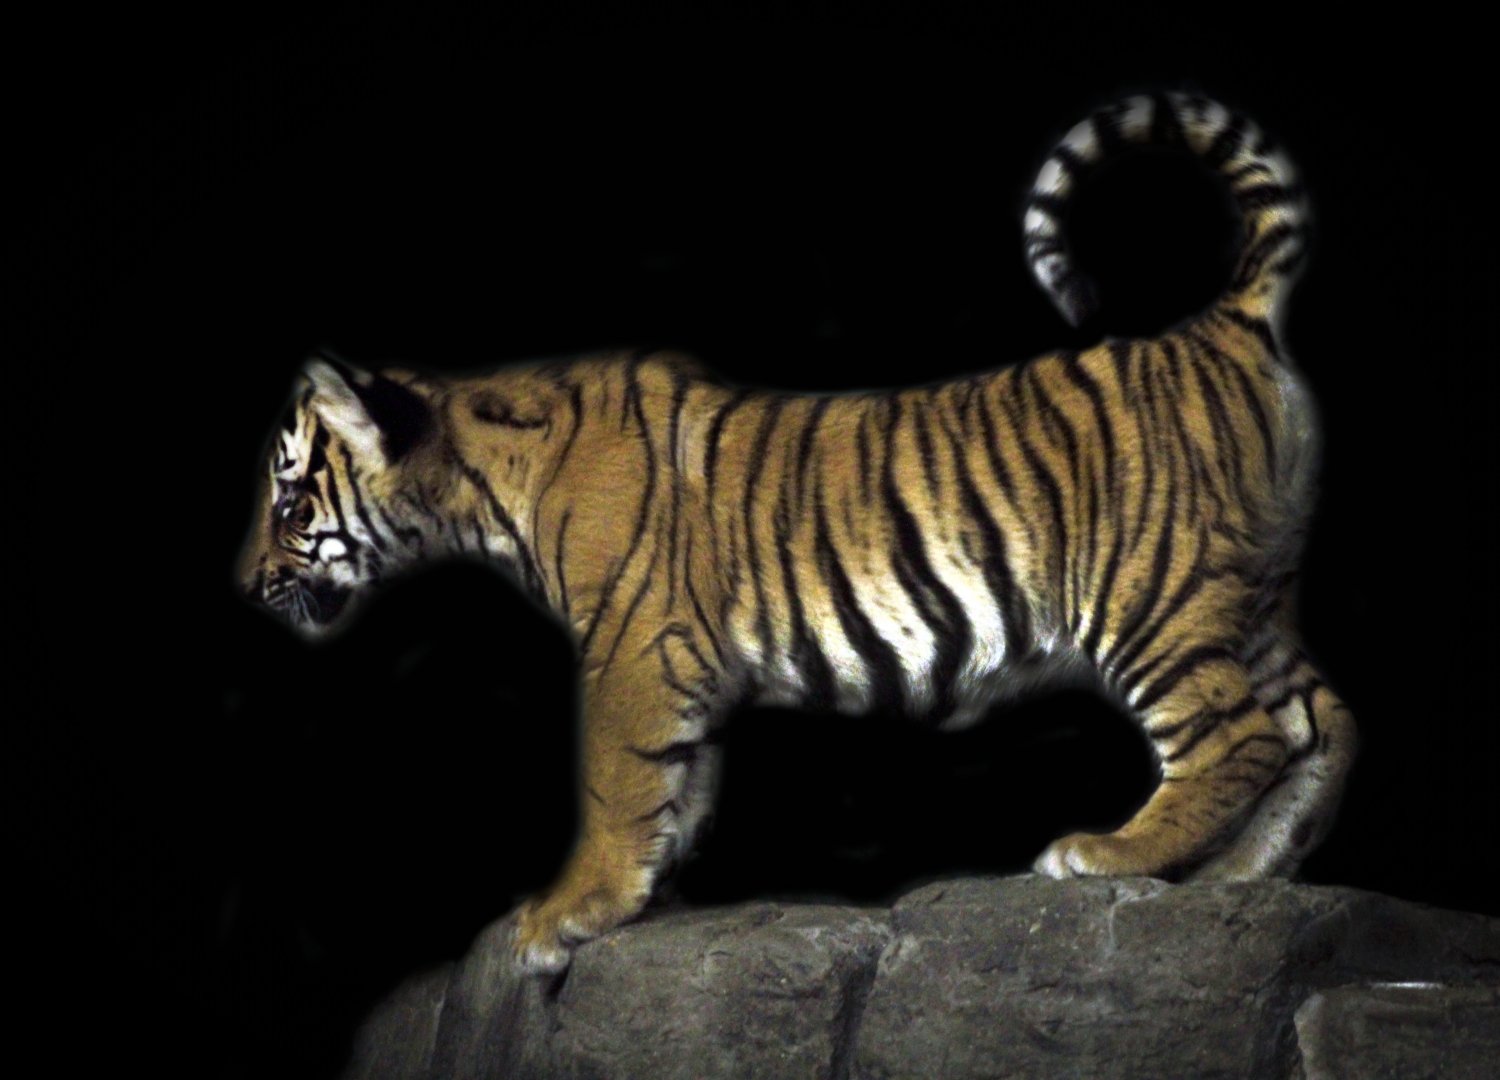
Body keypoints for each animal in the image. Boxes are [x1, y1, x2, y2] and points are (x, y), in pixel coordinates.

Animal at [239, 92, 1356, 974]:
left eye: (290, 505)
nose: (245, 586)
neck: (481, 474)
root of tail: (1225, 317)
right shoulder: (684, 667)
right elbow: (677, 793)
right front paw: (646, 898)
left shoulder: (629, 650)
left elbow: (614, 787)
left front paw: (562, 916)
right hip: (1246, 598)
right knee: (1321, 724)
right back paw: (1241, 878)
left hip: (1151, 598)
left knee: (1239, 736)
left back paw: (1107, 855)